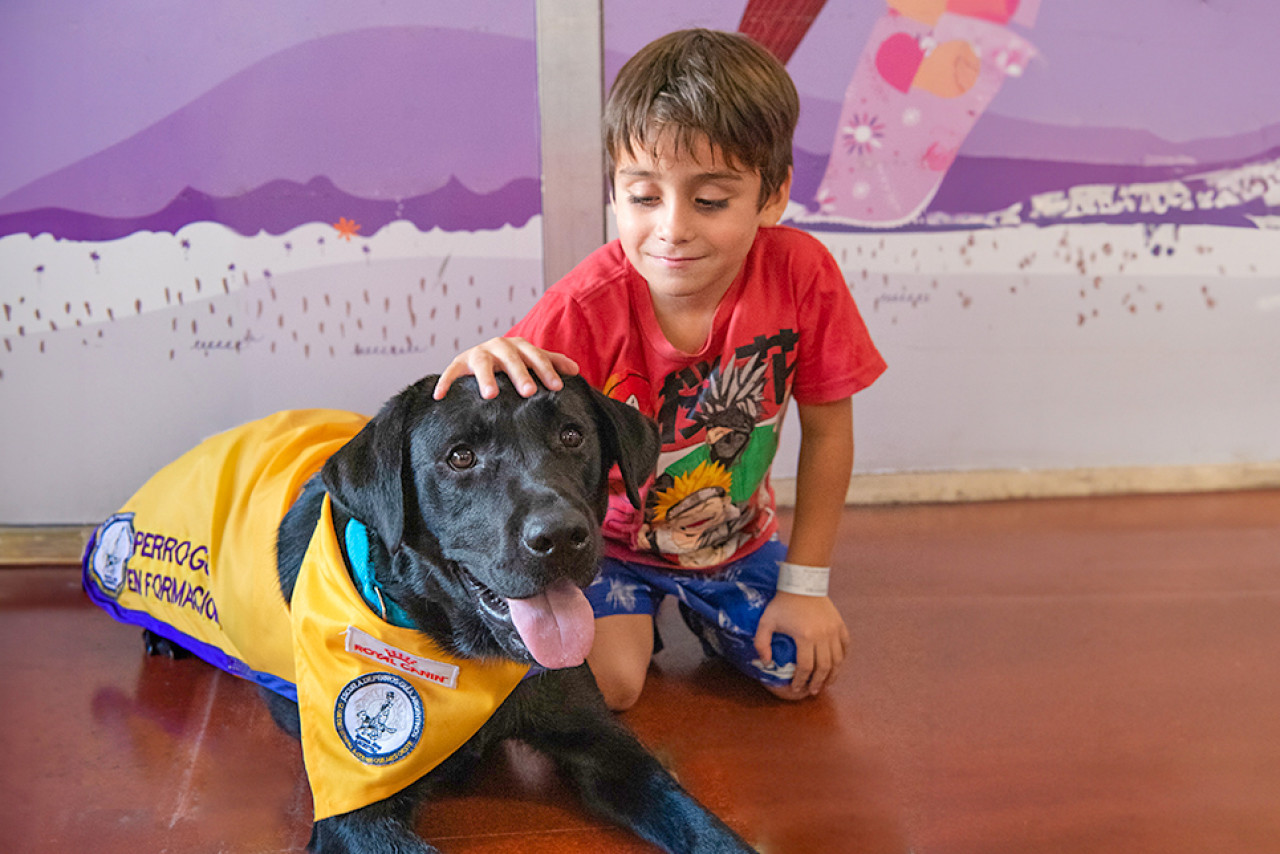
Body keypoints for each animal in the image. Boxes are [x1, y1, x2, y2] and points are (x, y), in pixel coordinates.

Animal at [145, 376, 752, 854]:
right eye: (460, 456)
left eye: (572, 436)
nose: (560, 537)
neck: (458, 648)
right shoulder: (353, 810)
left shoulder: (604, 743)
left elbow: (697, 821)